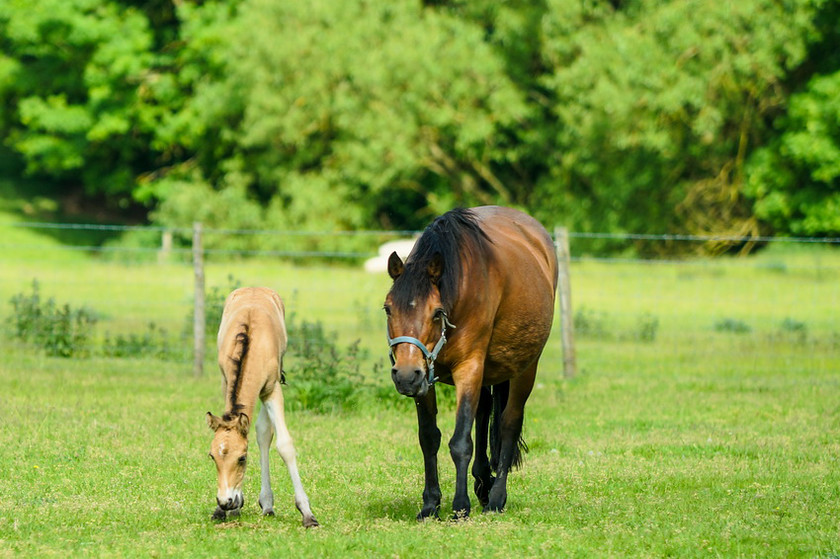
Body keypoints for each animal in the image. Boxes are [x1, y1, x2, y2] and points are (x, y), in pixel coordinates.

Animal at [206, 286, 318, 528]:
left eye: (242, 458)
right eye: (212, 456)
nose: (225, 501)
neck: (250, 344)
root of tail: (255, 287)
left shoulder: (272, 389)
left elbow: (284, 445)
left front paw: (307, 513)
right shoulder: (226, 382)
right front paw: (226, 509)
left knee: (264, 432)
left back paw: (267, 503)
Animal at [386, 206, 556, 520]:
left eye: (436, 312)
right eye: (388, 308)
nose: (405, 376)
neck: (460, 288)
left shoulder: (468, 368)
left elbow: (460, 442)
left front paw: (460, 506)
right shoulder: (426, 377)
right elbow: (429, 437)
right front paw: (430, 504)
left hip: (525, 369)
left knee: (509, 423)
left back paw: (496, 498)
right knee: (484, 410)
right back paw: (483, 482)